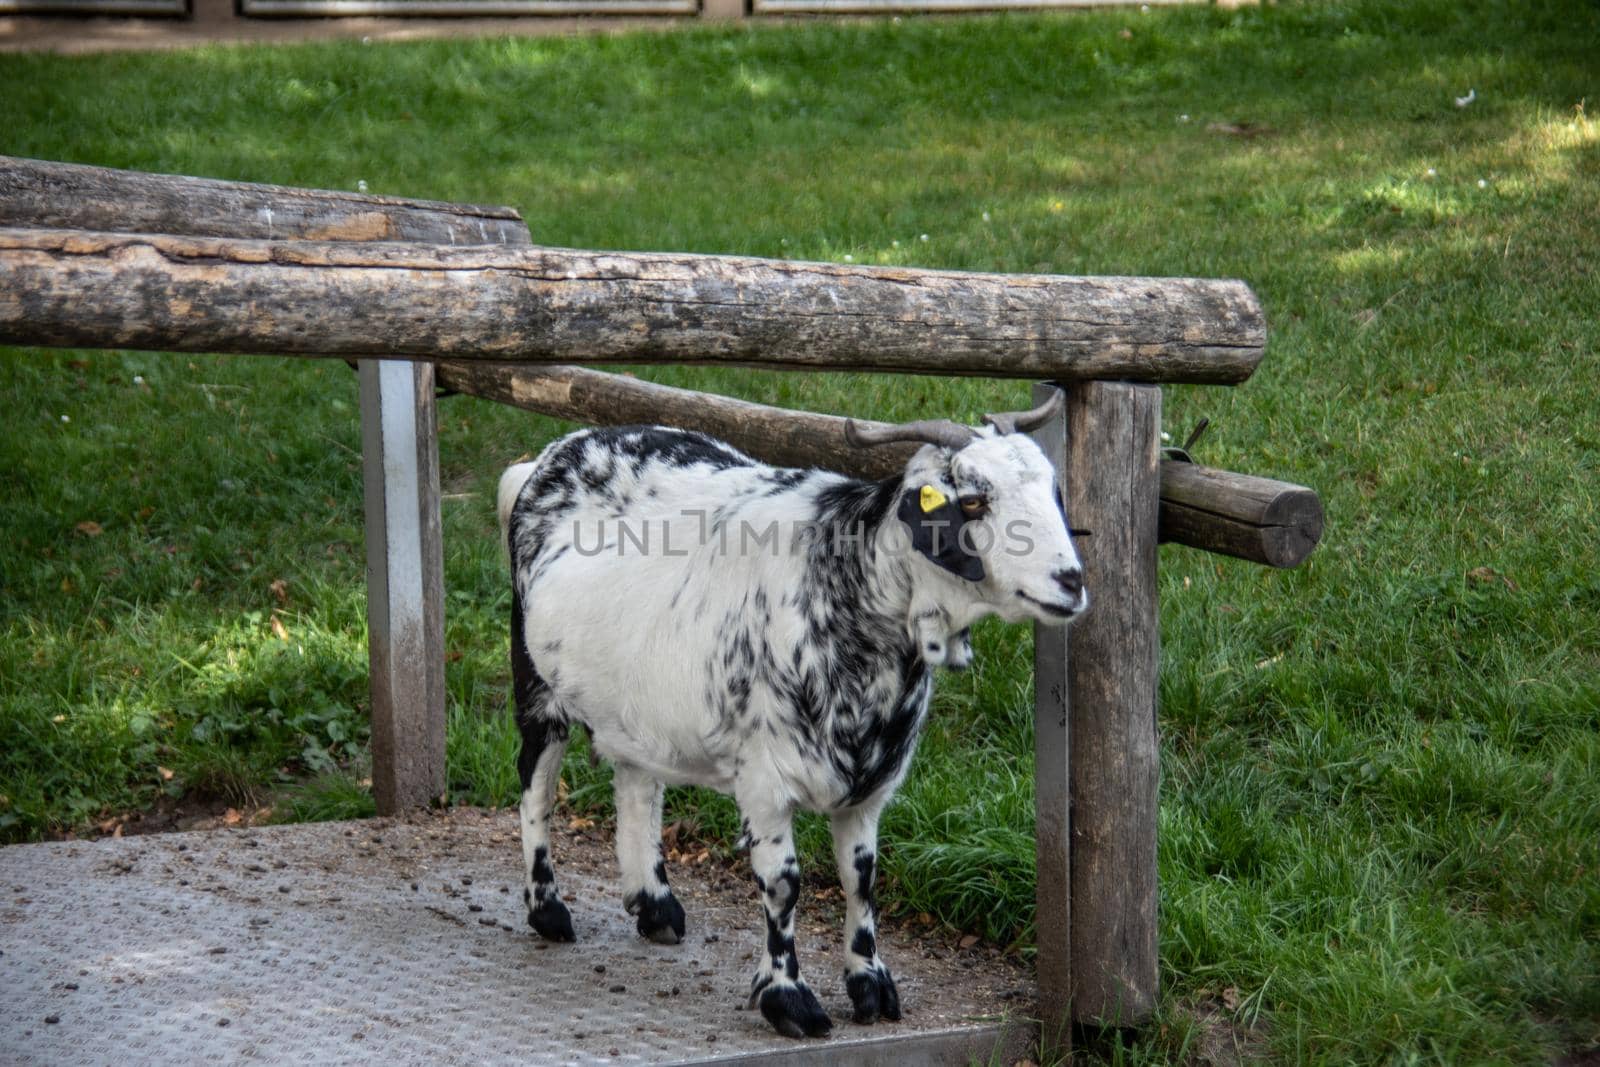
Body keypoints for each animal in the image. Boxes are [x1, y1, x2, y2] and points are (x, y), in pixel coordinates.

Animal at [492, 395, 1081, 1043]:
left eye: (1053, 490)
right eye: (974, 500)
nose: (1071, 581)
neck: (846, 585)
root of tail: (547, 458)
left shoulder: (871, 784)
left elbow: (861, 876)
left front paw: (871, 985)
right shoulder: (763, 779)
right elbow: (783, 884)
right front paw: (789, 999)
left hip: (635, 694)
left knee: (637, 781)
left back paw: (656, 905)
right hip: (536, 679)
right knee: (537, 785)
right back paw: (549, 911)